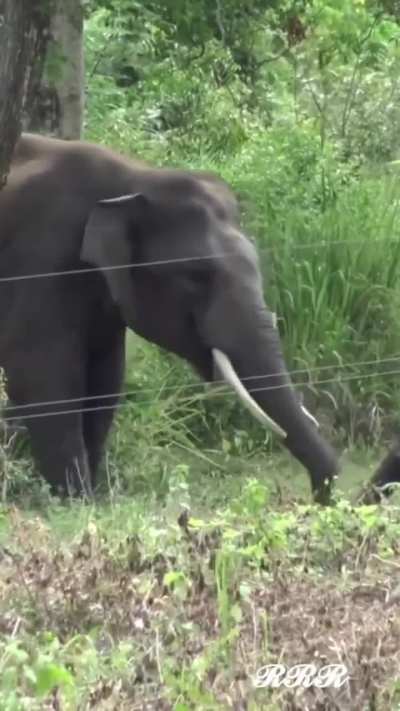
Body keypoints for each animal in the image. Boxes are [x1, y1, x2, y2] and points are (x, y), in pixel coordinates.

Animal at [0, 132, 339, 502]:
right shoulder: (41, 261)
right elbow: (40, 379)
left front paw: (95, 497)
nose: (319, 498)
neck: (136, 179)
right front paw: (78, 502)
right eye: (195, 276)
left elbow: (105, 380)